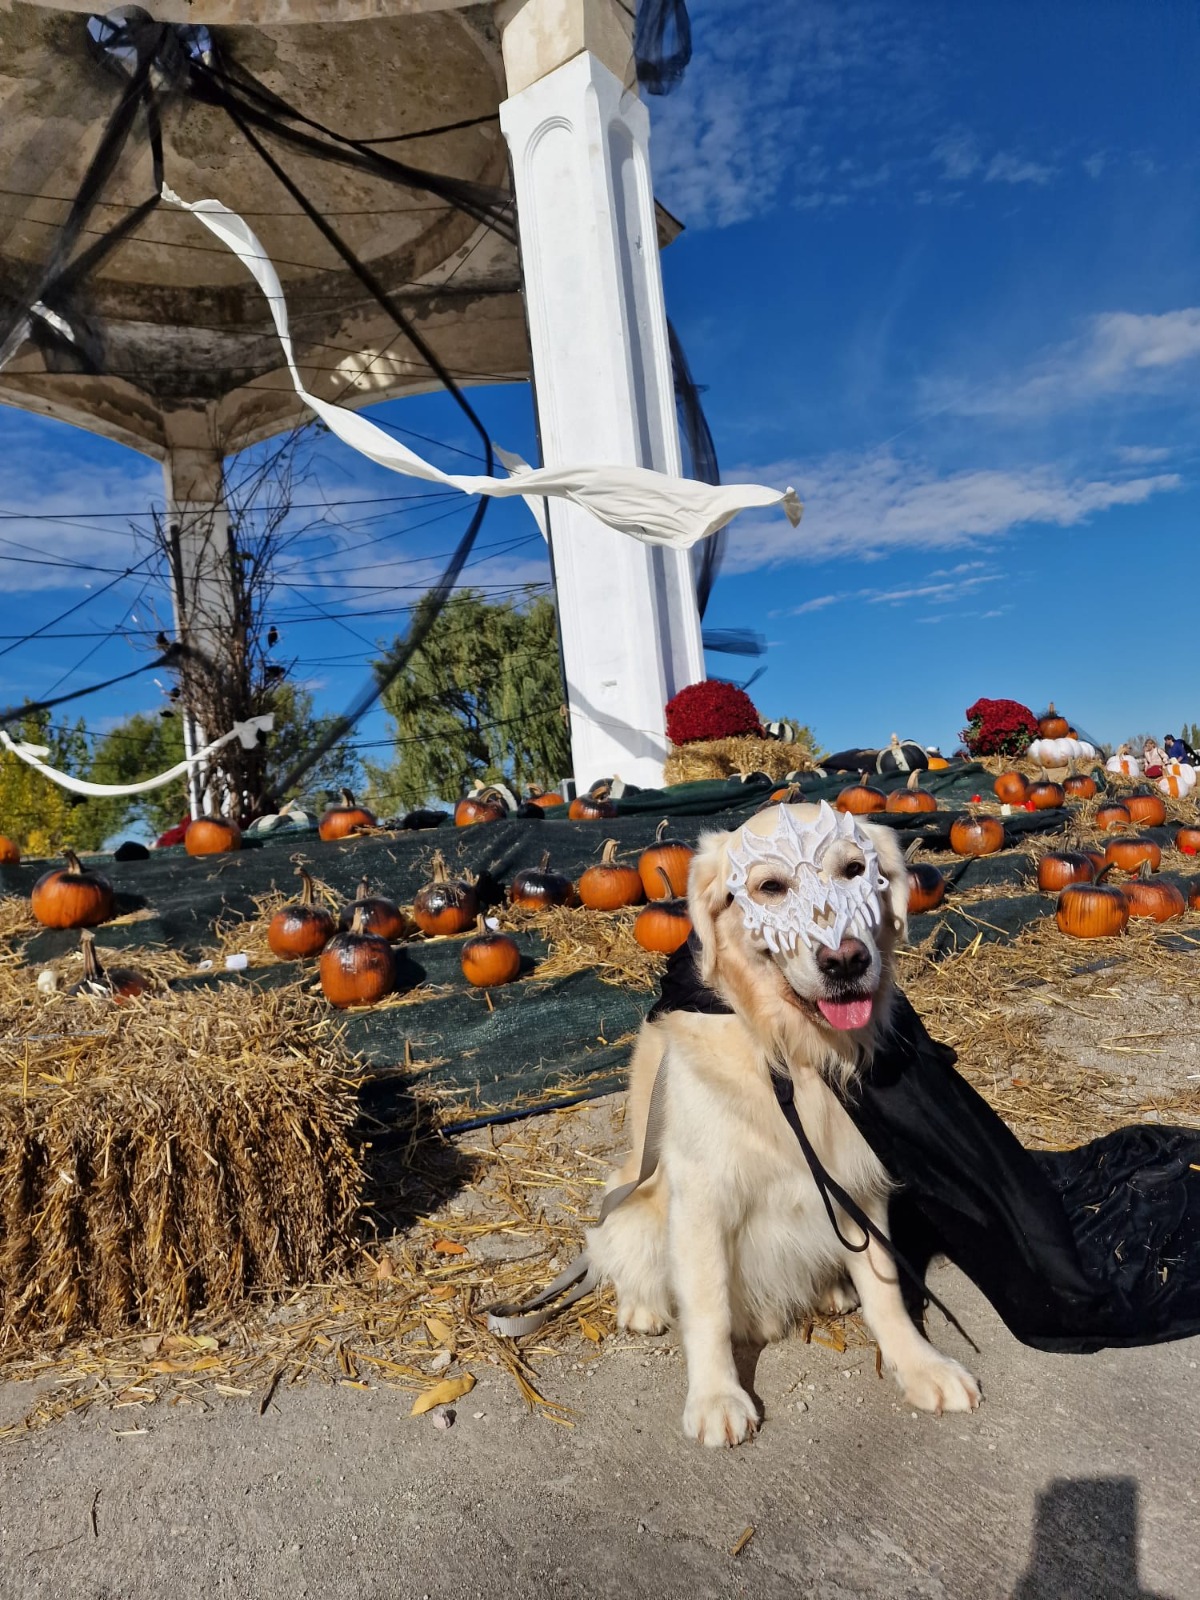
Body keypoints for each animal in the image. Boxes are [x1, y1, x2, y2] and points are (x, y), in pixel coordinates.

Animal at [588, 806, 979, 1446]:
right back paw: (642, 1308)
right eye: (770, 886)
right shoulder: (701, 1197)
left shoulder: (857, 1184)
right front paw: (716, 1396)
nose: (845, 960)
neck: (790, 1053)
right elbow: (707, 1305)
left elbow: (887, 1291)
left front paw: (922, 1366)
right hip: (630, 1203)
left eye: (855, 871)